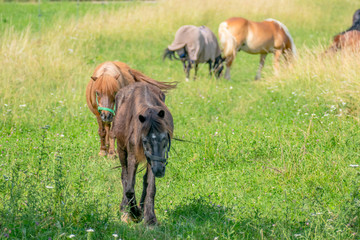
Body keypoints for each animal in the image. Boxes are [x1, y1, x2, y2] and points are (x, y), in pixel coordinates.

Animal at [111, 81, 176, 224]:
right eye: (145, 140)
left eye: (164, 138)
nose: (159, 171)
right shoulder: (133, 157)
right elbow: (129, 188)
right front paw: (135, 214)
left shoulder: (153, 160)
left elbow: (150, 186)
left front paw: (150, 218)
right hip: (121, 150)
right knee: (124, 176)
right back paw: (125, 209)